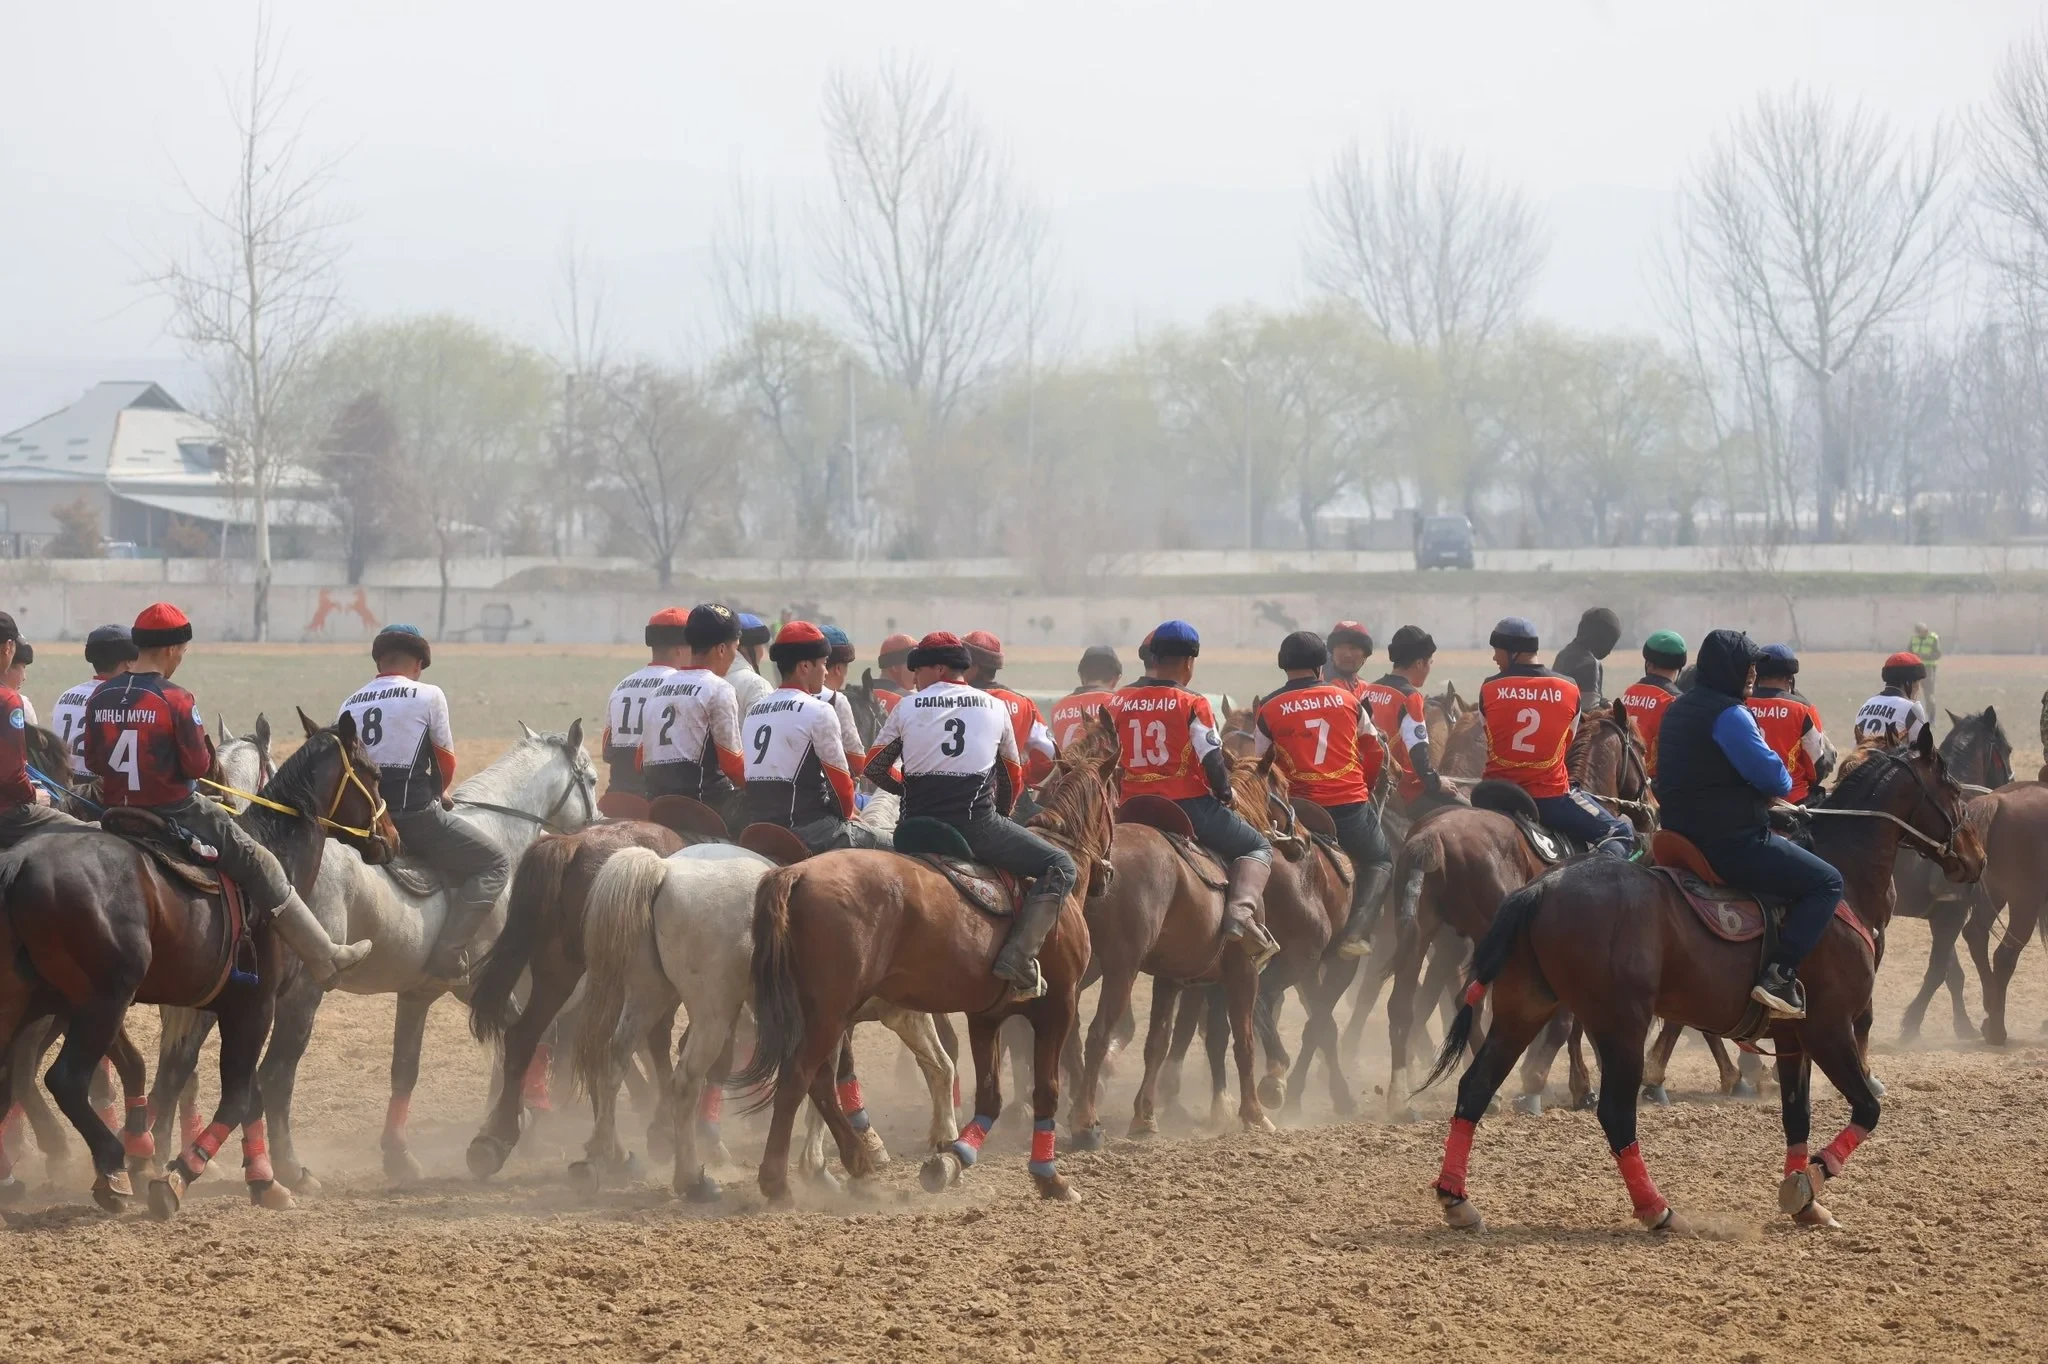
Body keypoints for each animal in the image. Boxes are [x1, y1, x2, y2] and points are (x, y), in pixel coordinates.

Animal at [0, 711, 394, 1217]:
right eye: (375, 773)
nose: (391, 839)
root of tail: (20, 864)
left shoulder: (210, 1008)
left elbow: (216, 1087)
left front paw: (258, 1178)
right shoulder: (253, 1007)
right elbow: (239, 1094)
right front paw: (180, 1175)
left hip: (40, 1003)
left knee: (18, 1075)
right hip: (100, 1002)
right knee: (62, 1079)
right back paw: (110, 1167)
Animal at [145, 722, 598, 1192]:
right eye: (592, 779)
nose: (598, 822)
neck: (499, 831)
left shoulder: (418, 996)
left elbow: (405, 1069)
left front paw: (399, 1155)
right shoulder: (479, 985)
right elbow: (526, 1034)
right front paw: (513, 1122)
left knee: (179, 1067)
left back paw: (156, 1159)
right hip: (298, 995)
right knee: (272, 1076)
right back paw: (287, 1168)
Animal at [736, 710, 1121, 1205]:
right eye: (1117, 794)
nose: (1107, 876)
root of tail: (796, 873)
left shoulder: (986, 1015)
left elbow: (989, 1095)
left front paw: (952, 1160)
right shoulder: (1059, 1006)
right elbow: (1046, 1090)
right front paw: (1049, 1177)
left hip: (822, 1013)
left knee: (820, 1082)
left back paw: (857, 1164)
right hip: (830, 1013)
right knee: (798, 1078)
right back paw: (780, 1181)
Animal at [1423, 730, 1982, 1234]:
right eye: (1953, 785)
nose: (1976, 859)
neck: (1840, 883)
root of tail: (1541, 887)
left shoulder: (1793, 1038)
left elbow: (1796, 1116)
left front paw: (1803, 1199)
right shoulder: (1829, 1028)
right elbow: (1868, 1108)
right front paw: (1811, 1181)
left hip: (1524, 1009)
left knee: (1476, 1086)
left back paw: (1457, 1199)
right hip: (1621, 1023)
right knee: (1615, 1113)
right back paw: (1657, 1210)